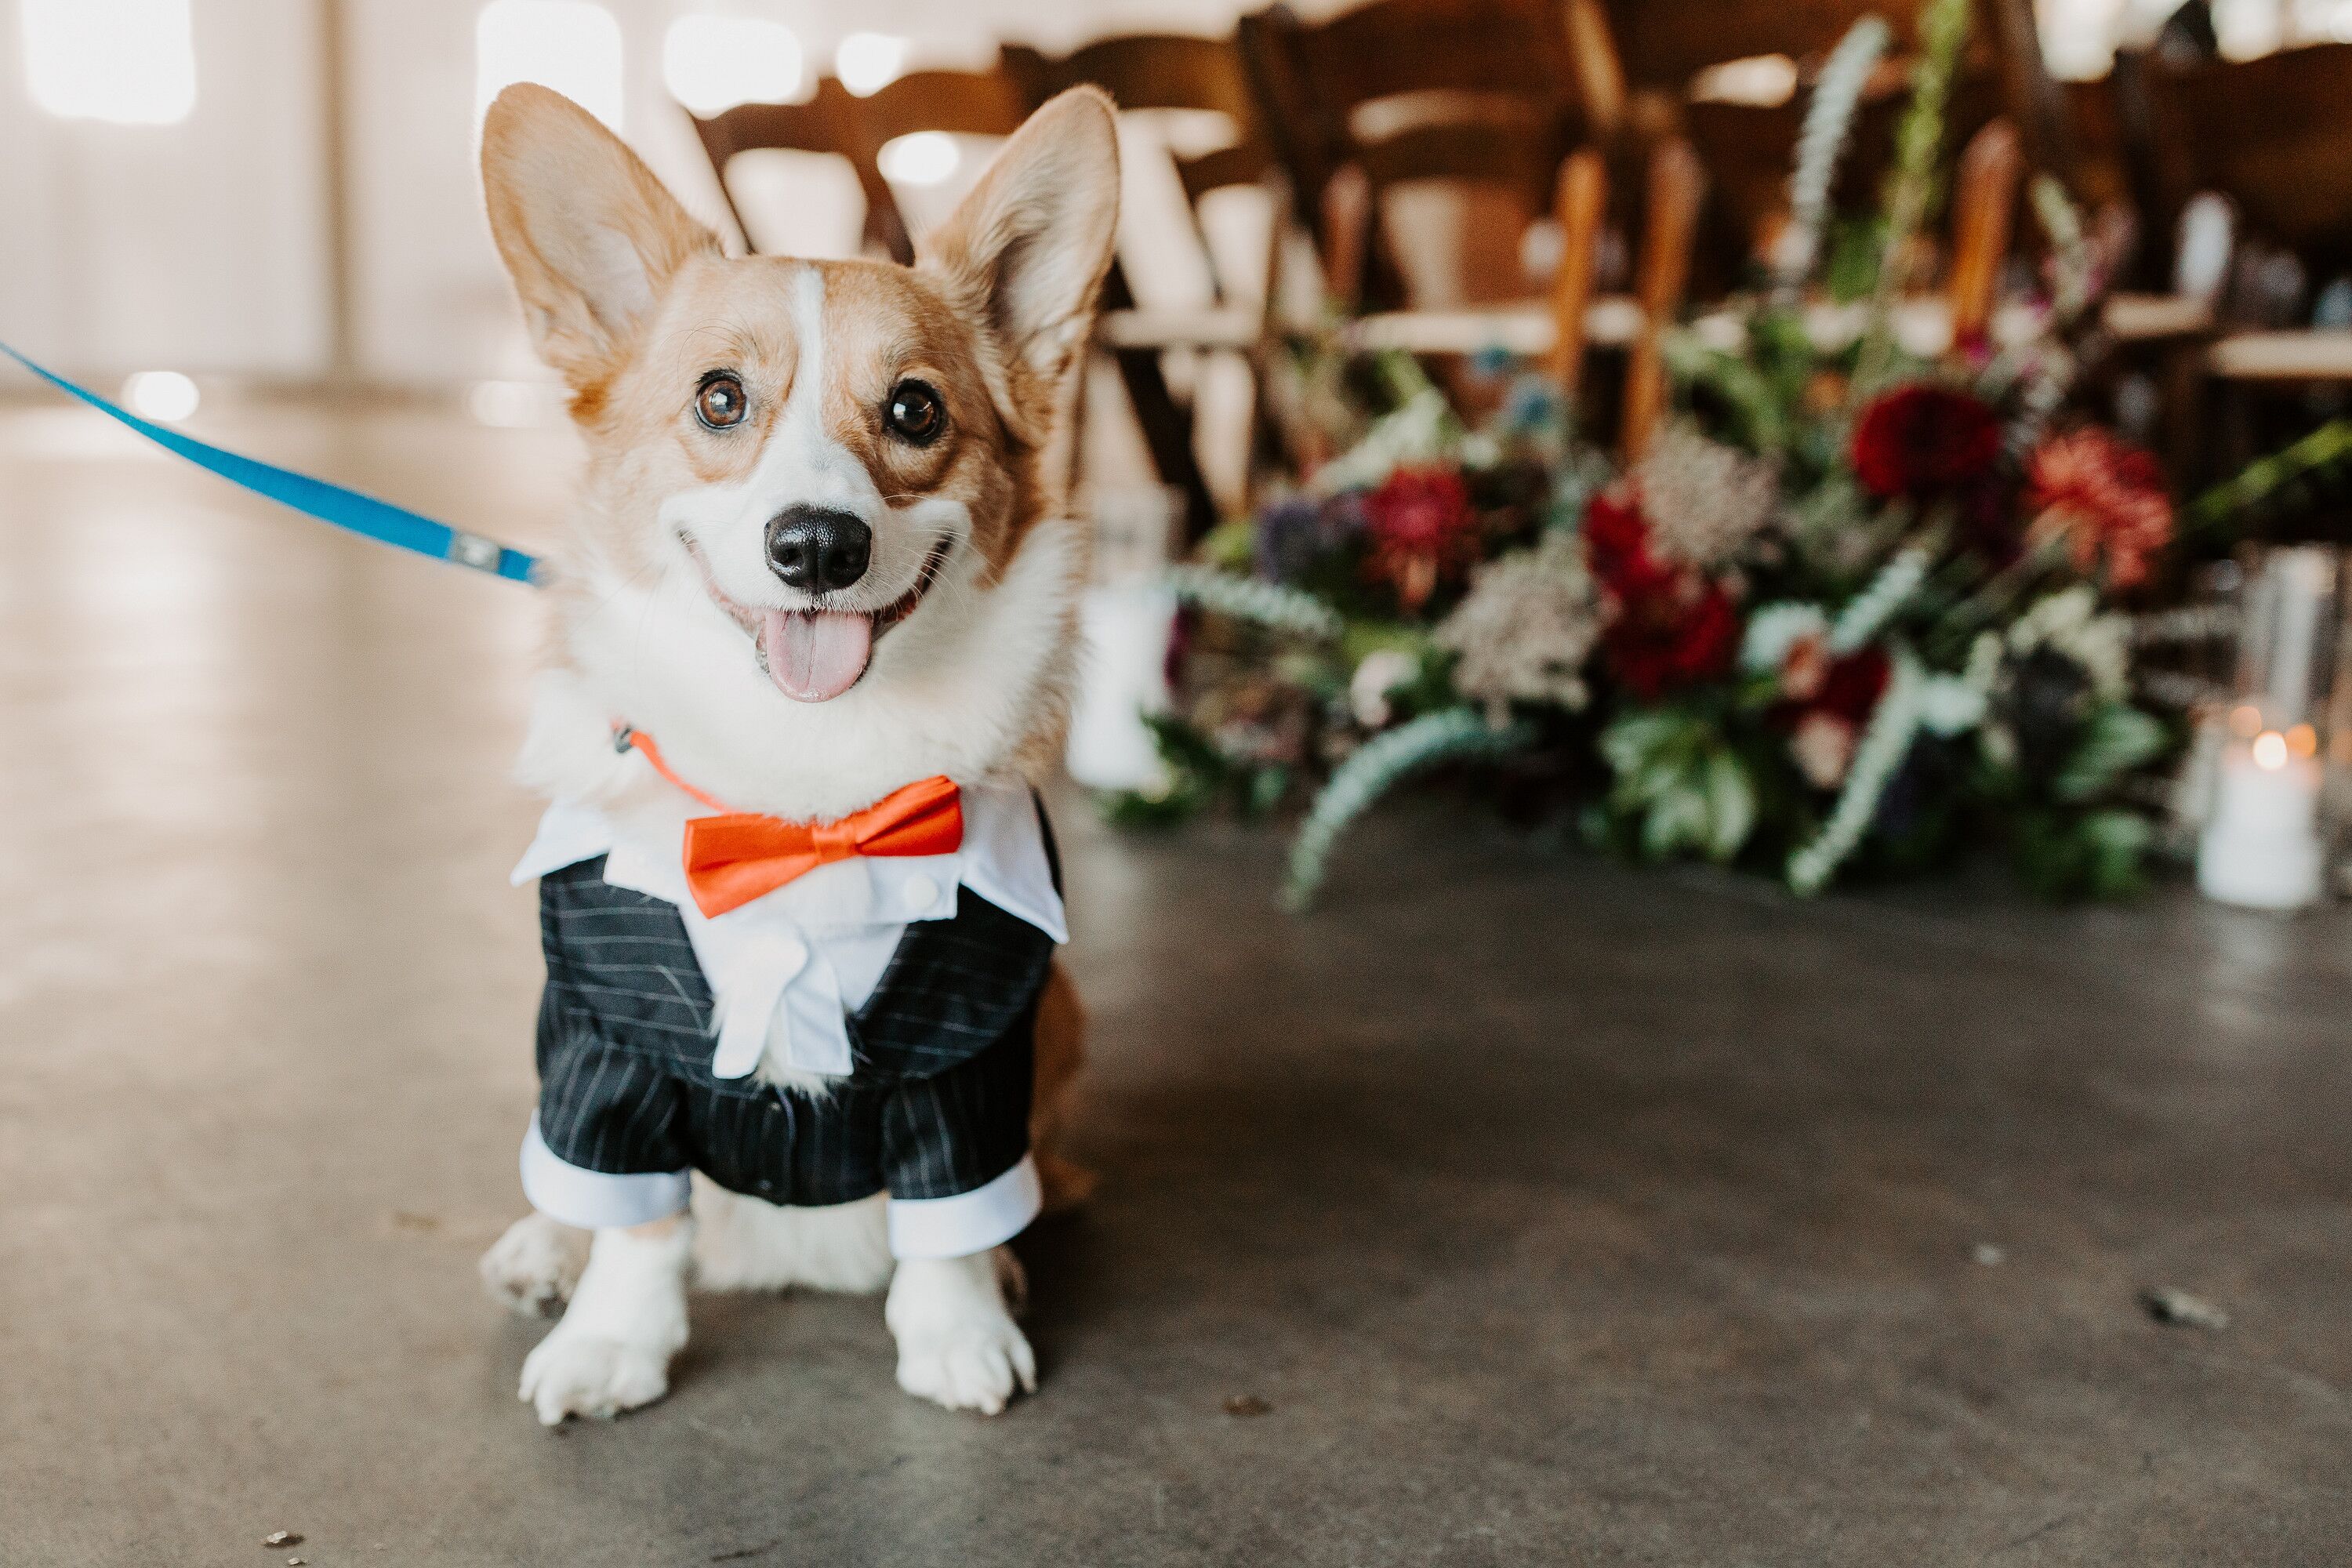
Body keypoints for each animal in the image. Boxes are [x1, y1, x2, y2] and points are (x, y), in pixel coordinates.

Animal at [466, 82, 1110, 1420]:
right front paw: (612, 1342)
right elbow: (636, 1219)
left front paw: (961, 1331)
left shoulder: (971, 1045)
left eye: (915, 408)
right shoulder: (612, 1041)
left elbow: (951, 1217)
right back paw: (544, 1246)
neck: (801, 809)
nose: (817, 546)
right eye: (720, 399)